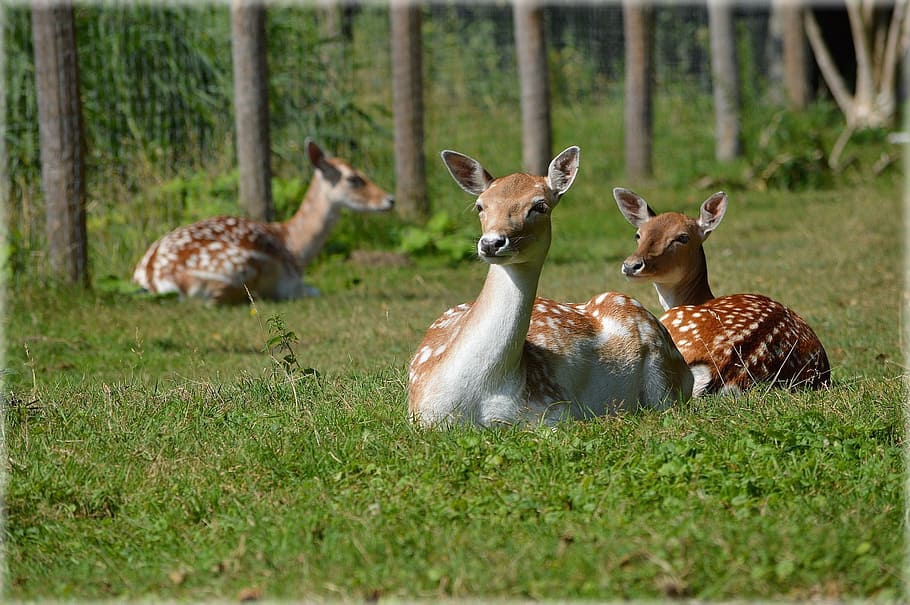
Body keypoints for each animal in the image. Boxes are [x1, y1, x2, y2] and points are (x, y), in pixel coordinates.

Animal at [132, 139, 394, 304]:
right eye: (354, 179)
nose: (389, 199)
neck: (295, 248)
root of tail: (154, 278)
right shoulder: (290, 284)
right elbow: (315, 291)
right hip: (238, 267)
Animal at [407, 147, 693, 428]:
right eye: (480, 205)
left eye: (540, 206)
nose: (491, 243)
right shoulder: (422, 416)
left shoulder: (554, 410)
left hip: (665, 372)